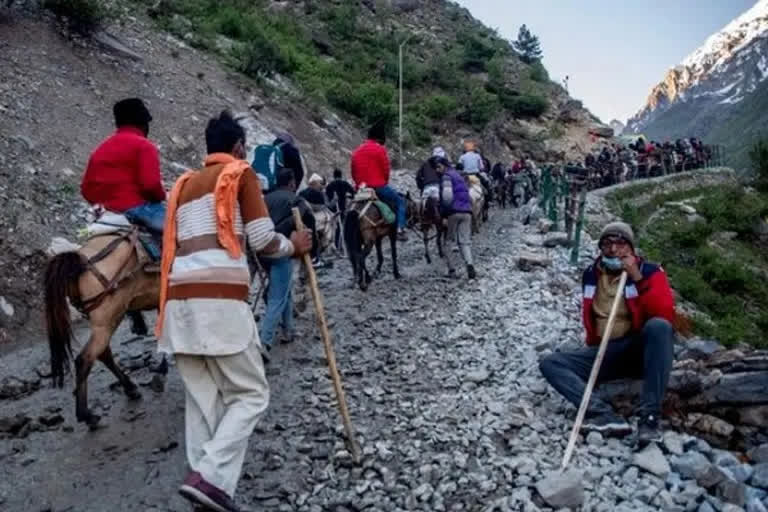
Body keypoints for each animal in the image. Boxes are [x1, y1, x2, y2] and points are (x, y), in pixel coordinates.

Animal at [42, 229, 160, 428]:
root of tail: (81, 261)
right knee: (85, 359)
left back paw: (130, 388)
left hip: (104, 321)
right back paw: (87, 415)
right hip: (108, 319)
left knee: (103, 353)